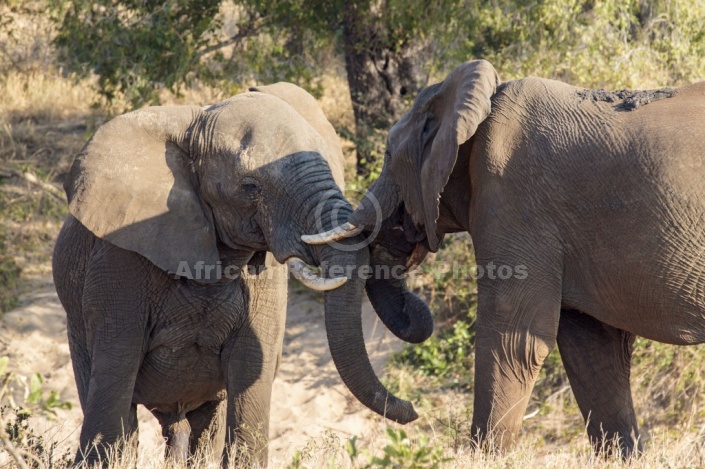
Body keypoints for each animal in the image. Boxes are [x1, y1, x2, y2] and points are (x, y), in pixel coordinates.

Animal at [304, 59, 705, 458]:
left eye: (388, 156)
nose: (413, 411)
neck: (475, 103)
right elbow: (592, 348)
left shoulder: (514, 197)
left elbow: (514, 340)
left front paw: (483, 456)